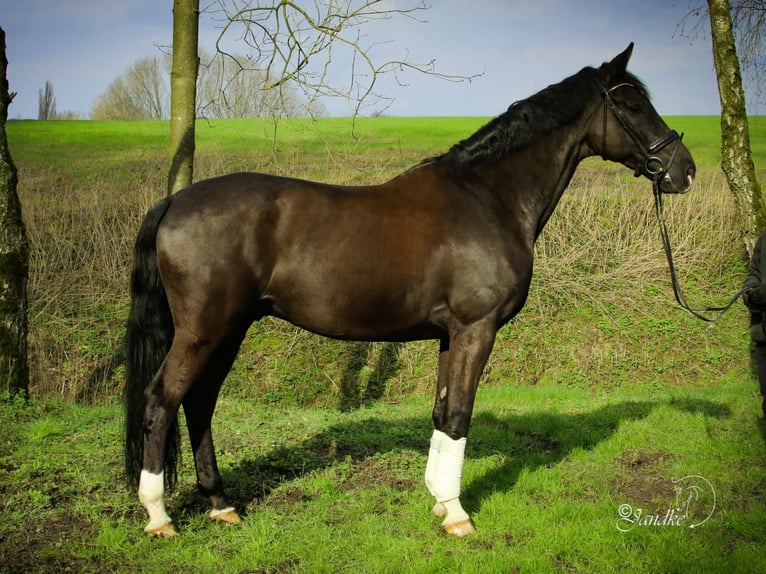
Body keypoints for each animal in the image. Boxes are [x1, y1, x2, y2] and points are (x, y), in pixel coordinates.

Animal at [124, 43, 695, 538]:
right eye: (632, 103)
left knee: (199, 403)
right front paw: (459, 516)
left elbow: (442, 414)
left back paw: (221, 505)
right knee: (162, 399)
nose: (683, 170)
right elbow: (460, 415)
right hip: (204, 331)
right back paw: (159, 516)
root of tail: (173, 203)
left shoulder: (450, 335)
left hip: (230, 329)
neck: (489, 198)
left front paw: (440, 502)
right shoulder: (476, 329)